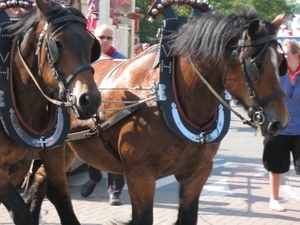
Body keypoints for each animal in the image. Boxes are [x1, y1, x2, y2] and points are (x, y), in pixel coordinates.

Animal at [0, 0, 101, 224]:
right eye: (58, 43)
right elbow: (21, 212)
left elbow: (61, 198)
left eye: (91, 45)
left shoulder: (54, 152)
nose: (89, 99)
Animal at [27, 4, 288, 225]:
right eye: (256, 65)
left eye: (281, 64)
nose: (280, 122)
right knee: (55, 189)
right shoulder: (140, 176)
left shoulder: (198, 174)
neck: (167, 98)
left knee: (40, 181)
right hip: (55, 147)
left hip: (68, 149)